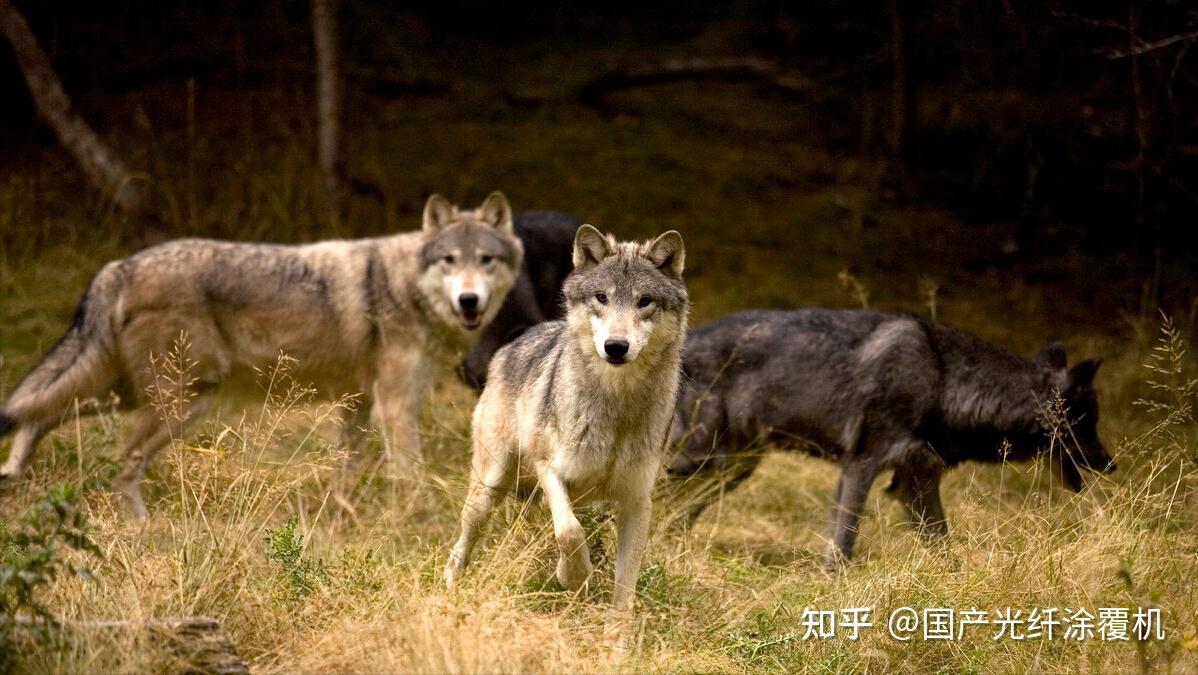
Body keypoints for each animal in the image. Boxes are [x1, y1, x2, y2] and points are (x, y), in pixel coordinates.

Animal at [1, 190, 524, 517]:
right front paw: (416, 516)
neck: (403, 287)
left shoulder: (357, 403)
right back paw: (141, 526)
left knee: (38, 414)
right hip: (178, 402)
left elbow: (343, 471)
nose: (469, 301)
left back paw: (12, 474)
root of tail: (121, 265)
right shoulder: (394, 404)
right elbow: (410, 472)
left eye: (486, 260)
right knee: (119, 461)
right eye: (449, 261)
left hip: (129, 394)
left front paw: (342, 517)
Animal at [666, 311, 1111, 565]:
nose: (1111, 463)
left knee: (676, 514)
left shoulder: (914, 482)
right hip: (699, 460)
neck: (943, 380)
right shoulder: (861, 466)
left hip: (729, 470)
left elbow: (944, 547)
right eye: (1086, 422)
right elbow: (843, 543)